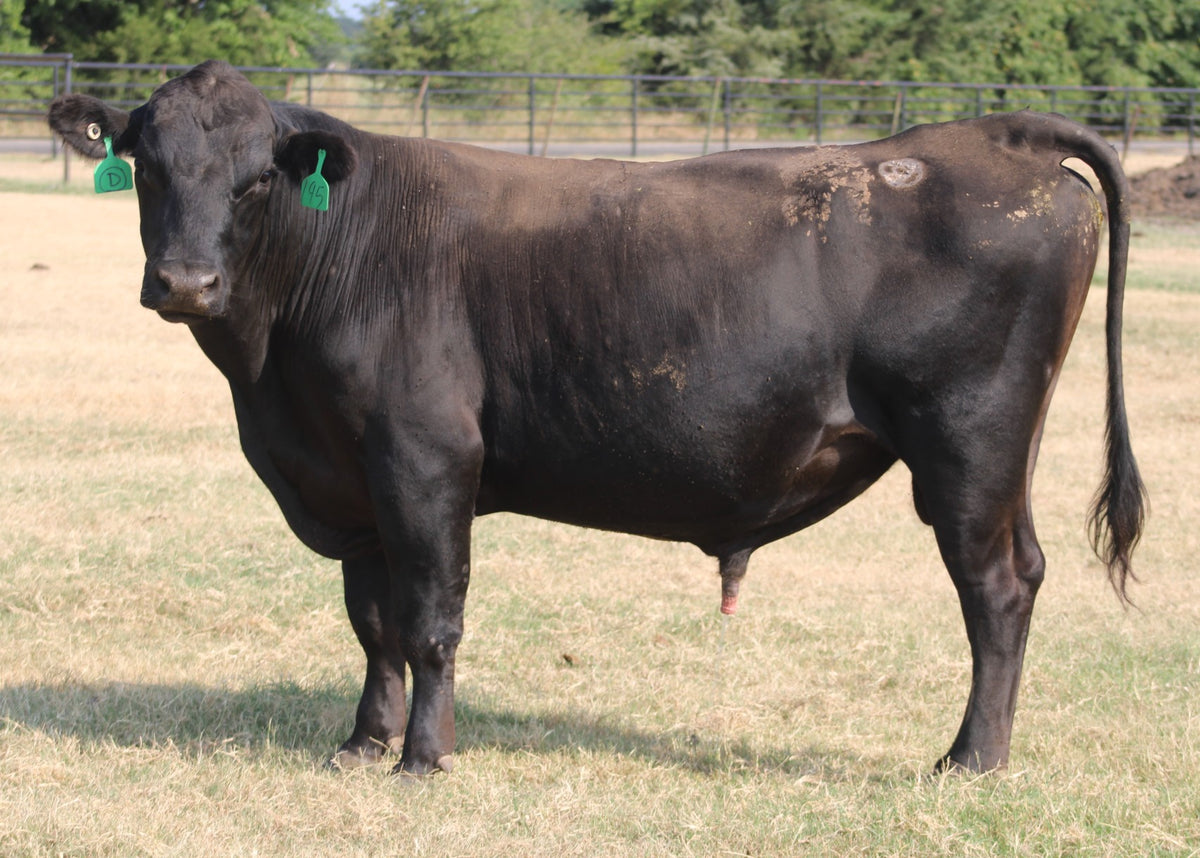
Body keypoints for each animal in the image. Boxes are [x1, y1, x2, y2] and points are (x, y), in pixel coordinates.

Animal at [49, 60, 1145, 777]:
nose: (184, 283)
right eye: (149, 167)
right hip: (1005, 455)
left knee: (993, 590)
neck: (275, 372)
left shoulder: (425, 459)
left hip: (966, 444)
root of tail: (981, 136)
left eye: (255, 178)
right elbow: (371, 623)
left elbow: (430, 618)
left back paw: (971, 759)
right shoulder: (348, 475)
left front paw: (424, 758)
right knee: (1025, 571)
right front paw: (362, 742)